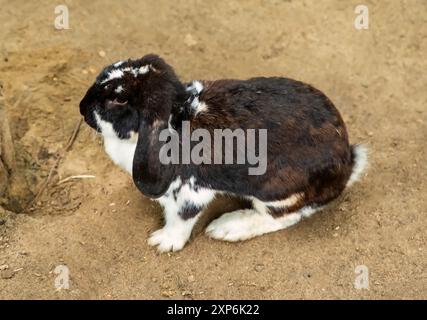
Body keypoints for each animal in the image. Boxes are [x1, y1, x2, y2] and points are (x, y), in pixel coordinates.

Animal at [79, 54, 368, 252]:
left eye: (119, 99)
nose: (82, 107)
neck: (176, 116)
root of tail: (347, 165)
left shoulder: (190, 193)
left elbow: (180, 220)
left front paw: (163, 242)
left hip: (275, 192)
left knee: (284, 217)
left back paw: (227, 227)